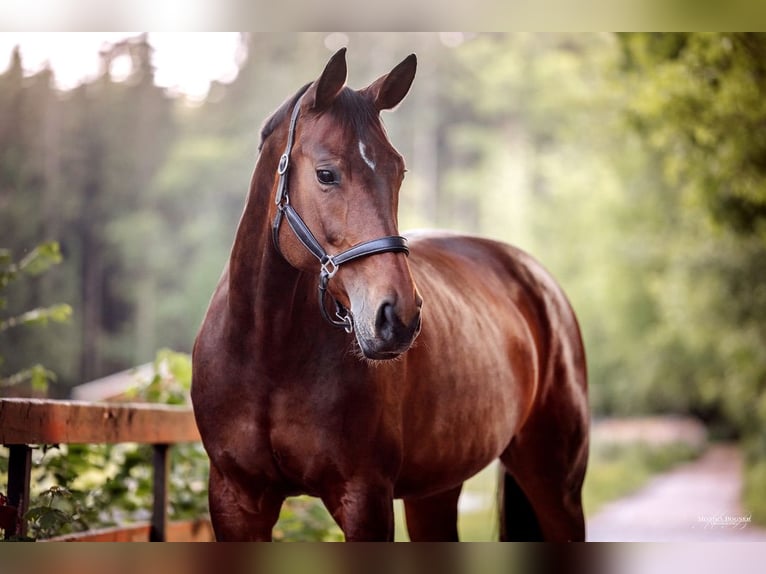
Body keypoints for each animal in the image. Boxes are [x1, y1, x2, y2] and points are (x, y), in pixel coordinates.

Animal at [190, 47, 588, 544]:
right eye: (326, 174)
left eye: (398, 171)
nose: (397, 317)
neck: (268, 356)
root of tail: (534, 277)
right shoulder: (235, 501)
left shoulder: (365, 499)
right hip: (437, 490)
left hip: (556, 485)